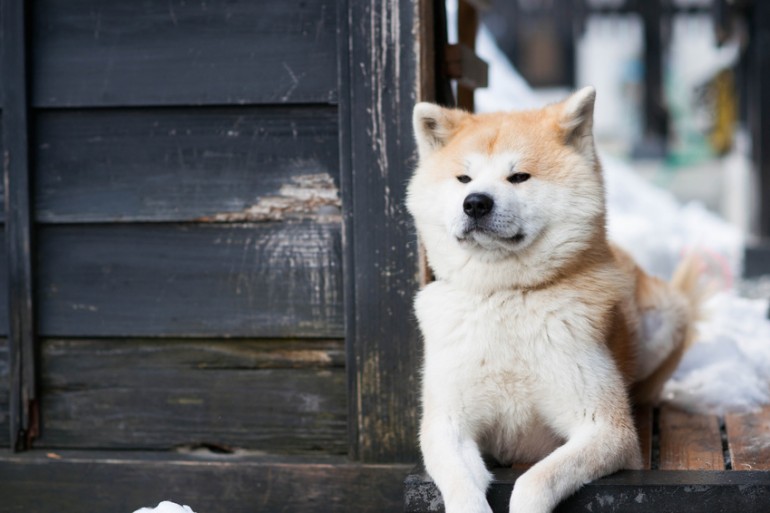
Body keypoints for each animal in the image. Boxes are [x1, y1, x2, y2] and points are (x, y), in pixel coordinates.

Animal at [408, 86, 704, 510]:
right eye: (463, 178)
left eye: (518, 176)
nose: (476, 202)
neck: (507, 296)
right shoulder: (446, 427)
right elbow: (464, 489)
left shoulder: (605, 428)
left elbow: (534, 481)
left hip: (666, 321)